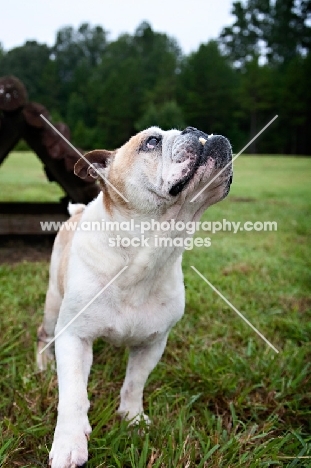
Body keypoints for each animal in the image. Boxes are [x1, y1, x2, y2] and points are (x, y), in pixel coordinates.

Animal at [36, 126, 233, 468]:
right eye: (152, 141)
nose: (196, 131)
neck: (148, 251)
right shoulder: (74, 337)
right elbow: (73, 395)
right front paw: (69, 442)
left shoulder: (152, 343)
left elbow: (134, 383)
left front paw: (132, 418)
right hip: (52, 306)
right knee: (44, 335)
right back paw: (42, 363)